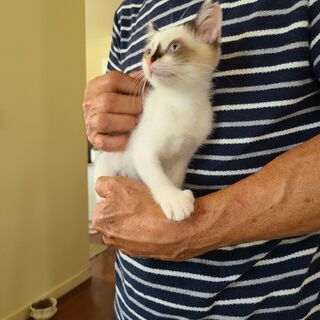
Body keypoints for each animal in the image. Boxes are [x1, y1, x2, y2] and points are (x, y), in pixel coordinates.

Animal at [94, 0, 221, 220]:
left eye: (174, 47)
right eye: (148, 51)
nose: (150, 60)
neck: (181, 100)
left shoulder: (182, 157)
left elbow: (173, 177)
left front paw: (175, 193)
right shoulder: (143, 150)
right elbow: (158, 178)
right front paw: (174, 200)